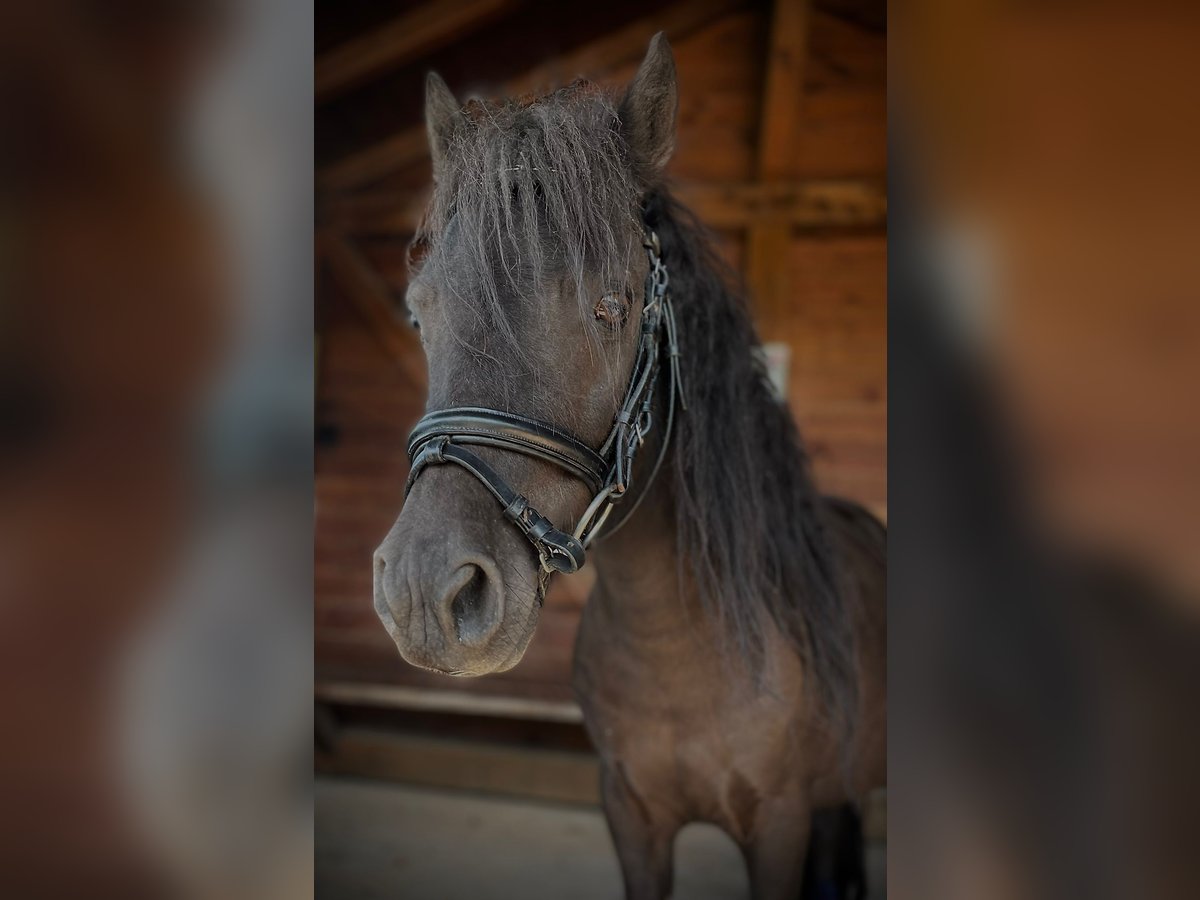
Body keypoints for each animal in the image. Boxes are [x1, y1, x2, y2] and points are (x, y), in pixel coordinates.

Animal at [374, 33, 892, 900]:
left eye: (611, 306)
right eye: (419, 314)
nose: (423, 594)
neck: (677, 645)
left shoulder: (780, 824)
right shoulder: (629, 815)